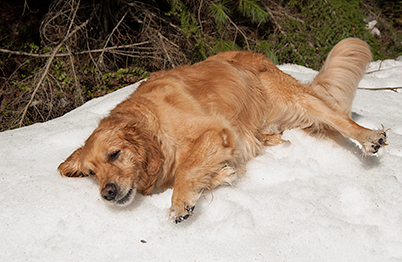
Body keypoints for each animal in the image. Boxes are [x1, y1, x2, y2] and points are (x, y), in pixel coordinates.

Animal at [58, 38, 388, 223]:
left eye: (115, 154)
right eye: (91, 173)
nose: (107, 193)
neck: (155, 128)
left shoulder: (215, 130)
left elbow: (187, 167)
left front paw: (180, 202)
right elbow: (209, 169)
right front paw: (220, 175)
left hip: (295, 99)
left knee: (342, 121)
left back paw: (370, 137)